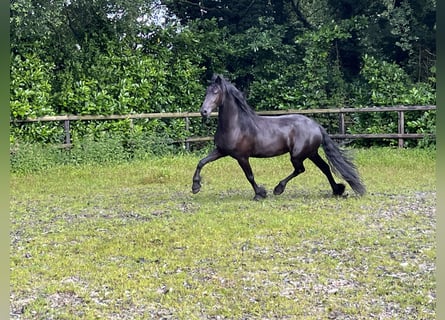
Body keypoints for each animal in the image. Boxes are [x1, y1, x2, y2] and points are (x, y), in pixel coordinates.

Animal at [191, 75, 364, 200]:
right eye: (206, 91)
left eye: (216, 92)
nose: (203, 112)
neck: (236, 125)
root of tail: (316, 126)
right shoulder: (221, 151)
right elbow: (201, 162)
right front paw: (195, 187)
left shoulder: (242, 157)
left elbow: (249, 176)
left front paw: (260, 194)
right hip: (311, 153)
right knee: (325, 168)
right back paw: (337, 190)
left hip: (298, 155)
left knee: (300, 169)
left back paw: (278, 189)